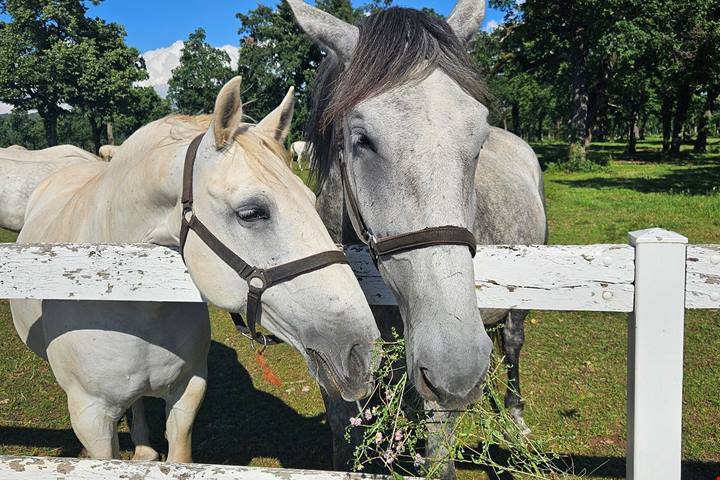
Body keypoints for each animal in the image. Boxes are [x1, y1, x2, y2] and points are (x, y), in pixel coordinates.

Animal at [9, 77, 380, 462]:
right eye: (251, 212)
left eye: (310, 200)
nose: (362, 350)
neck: (125, 299)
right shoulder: (91, 418)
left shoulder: (188, 392)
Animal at [289, 1, 547, 475]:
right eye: (362, 140)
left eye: (478, 137)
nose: (457, 364)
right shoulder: (337, 368)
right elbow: (344, 437)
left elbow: (438, 457)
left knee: (512, 342)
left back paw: (516, 417)